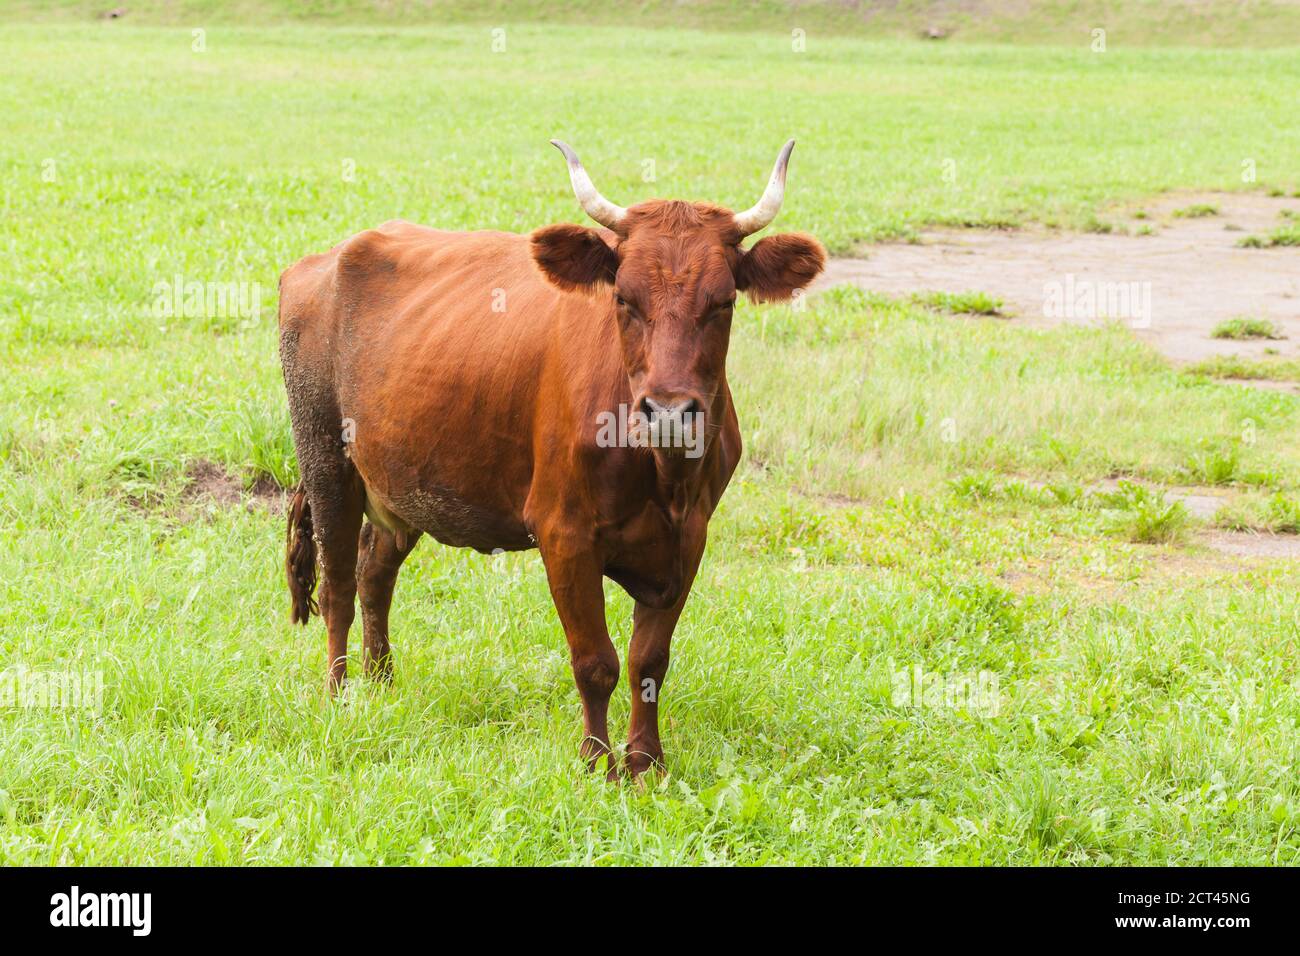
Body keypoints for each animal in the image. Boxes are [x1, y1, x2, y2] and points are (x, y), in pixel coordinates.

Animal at [280, 138, 826, 775]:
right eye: (624, 298)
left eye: (722, 302)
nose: (668, 411)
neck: (662, 474)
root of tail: (329, 256)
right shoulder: (563, 533)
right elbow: (596, 661)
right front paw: (596, 764)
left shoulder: (690, 536)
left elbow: (649, 661)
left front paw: (646, 763)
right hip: (324, 457)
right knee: (337, 585)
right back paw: (340, 694)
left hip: (399, 481)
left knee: (374, 572)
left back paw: (382, 683)